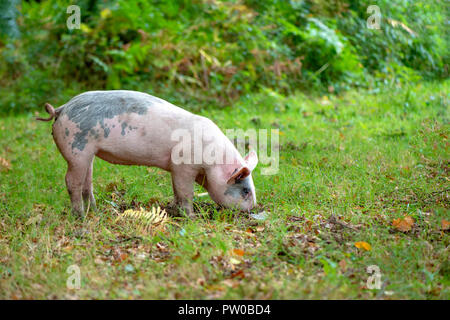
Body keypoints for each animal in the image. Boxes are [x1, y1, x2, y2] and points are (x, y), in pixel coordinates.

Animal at [37, 91, 258, 219]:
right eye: (245, 191)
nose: (253, 210)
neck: (212, 163)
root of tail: (62, 108)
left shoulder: (175, 169)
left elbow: (176, 191)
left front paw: (174, 211)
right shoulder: (183, 166)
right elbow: (185, 192)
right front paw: (191, 218)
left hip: (88, 154)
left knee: (87, 183)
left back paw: (95, 211)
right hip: (76, 149)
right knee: (71, 181)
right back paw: (80, 217)